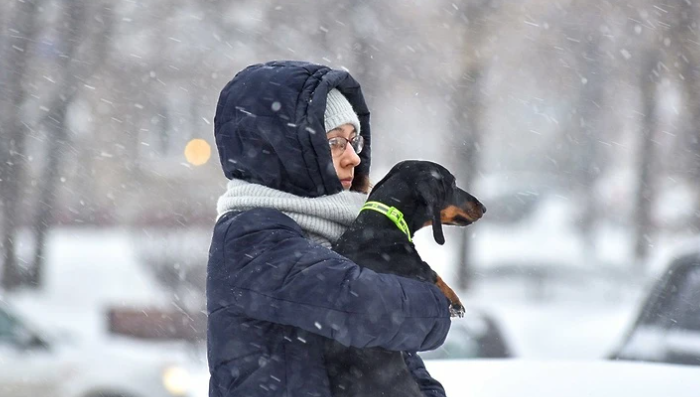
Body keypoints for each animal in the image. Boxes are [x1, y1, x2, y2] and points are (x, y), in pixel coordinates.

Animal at [324, 159, 484, 396]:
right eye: (453, 184)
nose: (483, 207)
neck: (383, 222)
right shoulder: (416, 270)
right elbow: (433, 275)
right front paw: (456, 303)